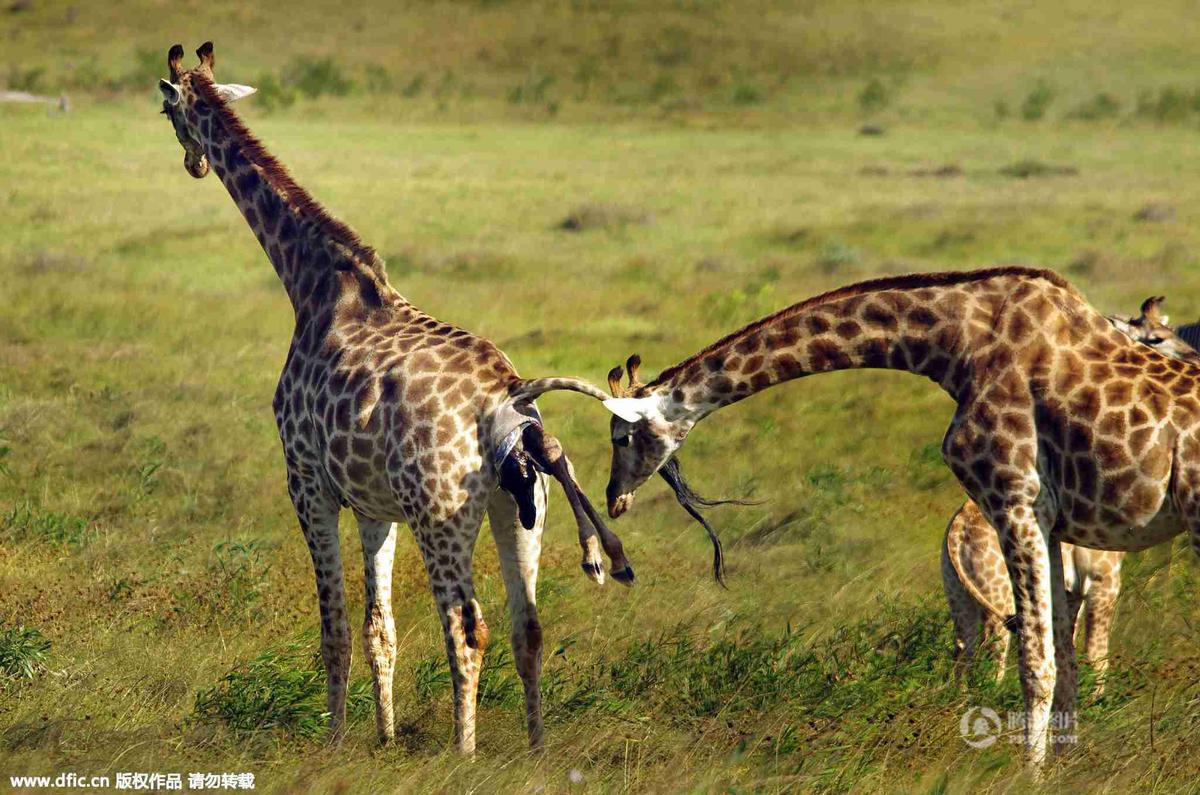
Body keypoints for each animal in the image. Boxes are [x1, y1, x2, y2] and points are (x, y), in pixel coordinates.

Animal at [153, 42, 624, 754]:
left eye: (166, 109)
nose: (193, 162)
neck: (310, 282)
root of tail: (511, 400)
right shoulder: (377, 508)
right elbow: (383, 630)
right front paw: (386, 739)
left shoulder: (307, 484)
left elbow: (337, 631)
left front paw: (334, 745)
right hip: (520, 510)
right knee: (528, 625)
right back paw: (537, 751)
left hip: (442, 513)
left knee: (468, 627)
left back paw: (464, 754)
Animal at [940, 294, 1195, 691]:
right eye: (1155, 338)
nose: (1192, 360)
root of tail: (956, 534)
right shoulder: (1103, 581)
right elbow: (1097, 653)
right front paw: (1100, 700)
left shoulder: (1072, 591)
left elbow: (1069, 650)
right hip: (999, 597)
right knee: (994, 655)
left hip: (960, 598)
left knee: (962, 655)